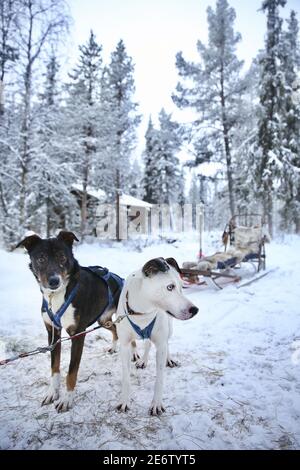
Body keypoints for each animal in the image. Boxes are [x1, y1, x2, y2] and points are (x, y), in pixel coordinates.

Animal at [15, 231, 123, 412]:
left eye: (62, 257)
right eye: (41, 258)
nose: (54, 281)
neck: (58, 295)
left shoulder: (78, 334)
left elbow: (71, 372)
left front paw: (67, 399)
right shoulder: (53, 333)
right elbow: (55, 368)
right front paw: (52, 392)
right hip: (103, 320)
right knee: (115, 328)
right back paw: (114, 347)